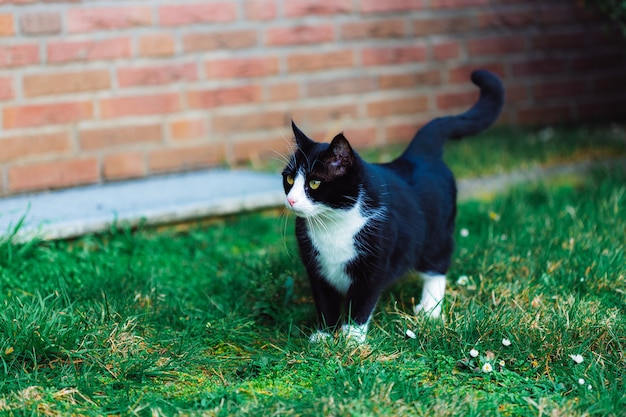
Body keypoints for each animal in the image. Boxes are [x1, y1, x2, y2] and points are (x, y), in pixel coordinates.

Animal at [282, 70, 502, 344]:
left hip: (437, 231)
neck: (333, 224)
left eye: (314, 182)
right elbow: (325, 301)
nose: (291, 200)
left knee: (438, 263)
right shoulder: (316, 267)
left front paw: (352, 340)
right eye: (289, 180)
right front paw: (323, 336)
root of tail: (417, 156)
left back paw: (429, 308)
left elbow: (361, 302)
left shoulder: (375, 263)